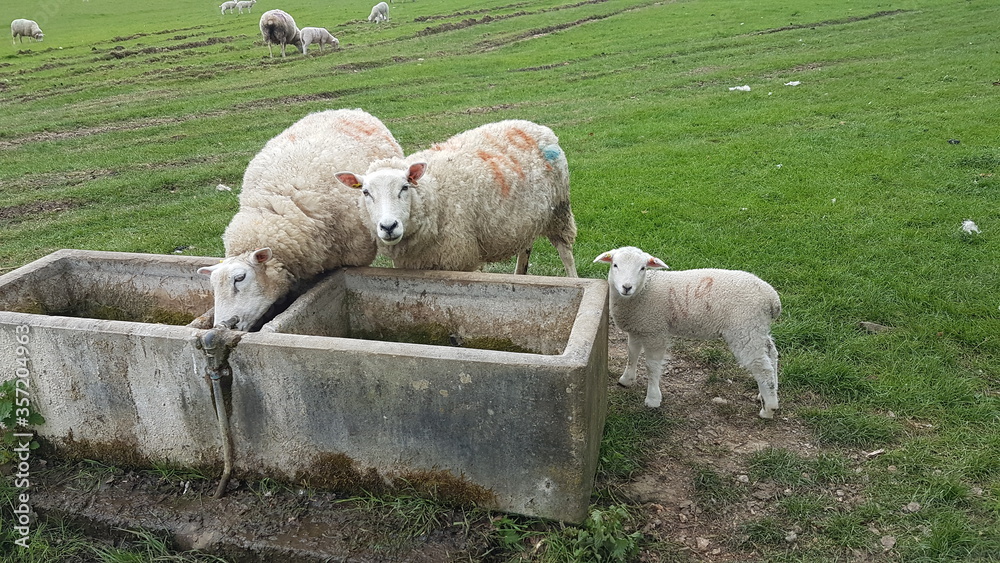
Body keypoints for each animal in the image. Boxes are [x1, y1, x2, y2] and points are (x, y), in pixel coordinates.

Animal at [196, 109, 404, 332]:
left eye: (240, 278)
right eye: (213, 286)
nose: (222, 326)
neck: (271, 210)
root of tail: (348, 110)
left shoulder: (355, 256)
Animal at [334, 120, 578, 277]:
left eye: (404, 187)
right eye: (366, 192)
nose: (388, 226)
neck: (433, 193)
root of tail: (538, 127)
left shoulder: (459, 258)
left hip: (559, 209)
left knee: (565, 251)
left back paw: (573, 278)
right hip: (527, 217)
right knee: (525, 246)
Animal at [594, 246, 781, 419]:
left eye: (643, 268)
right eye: (615, 265)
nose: (627, 287)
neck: (643, 291)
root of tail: (772, 298)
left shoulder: (656, 331)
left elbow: (652, 366)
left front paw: (653, 399)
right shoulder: (638, 327)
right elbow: (632, 354)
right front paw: (626, 380)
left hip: (744, 328)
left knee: (762, 367)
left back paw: (769, 408)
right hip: (756, 327)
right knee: (771, 353)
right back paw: (765, 394)